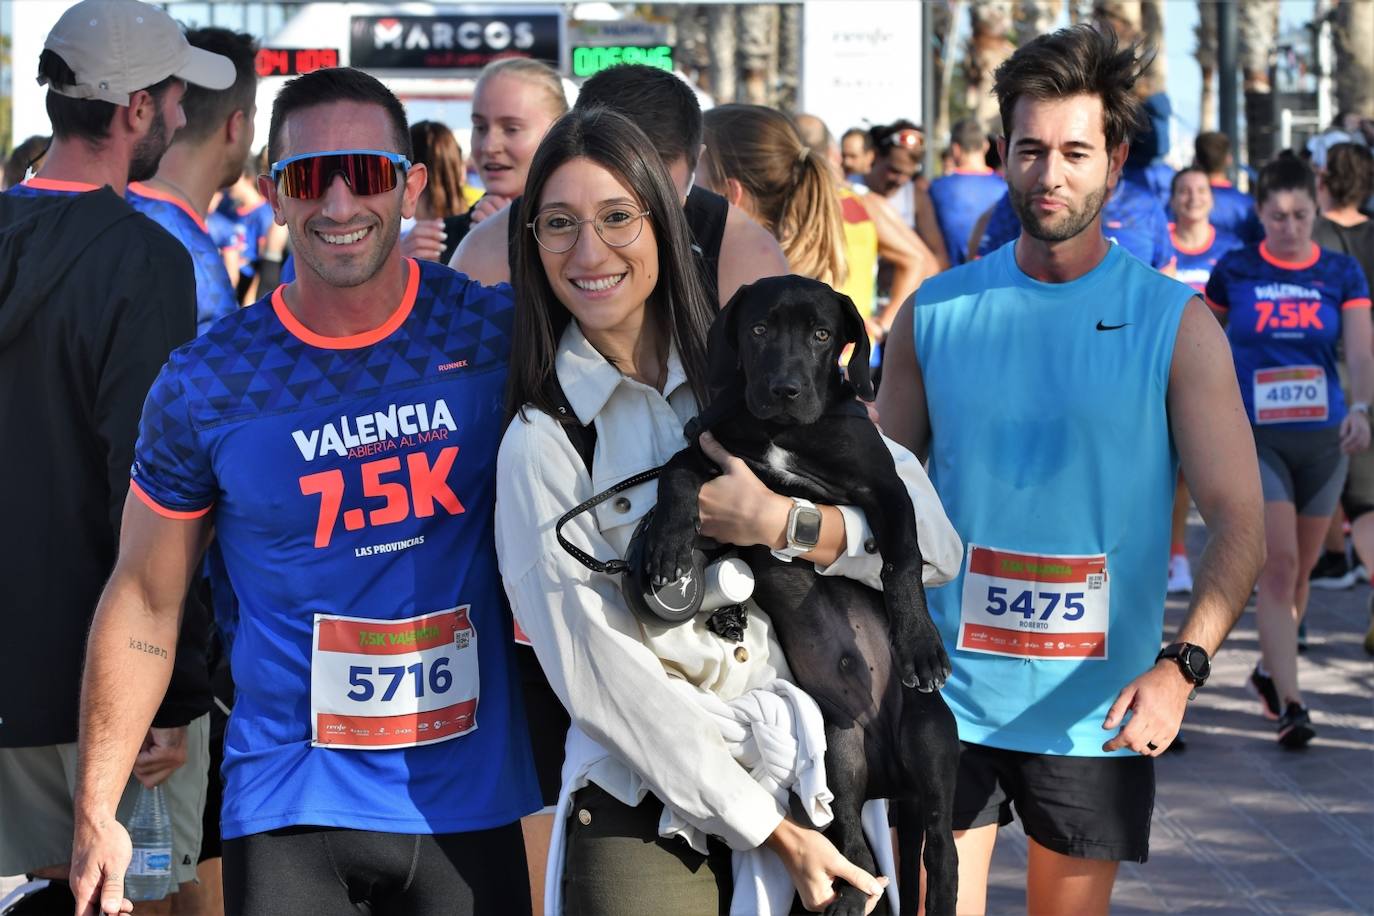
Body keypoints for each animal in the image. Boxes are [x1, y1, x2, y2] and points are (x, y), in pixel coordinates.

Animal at [648, 276, 961, 916]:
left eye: (821, 335)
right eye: (759, 329)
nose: (785, 390)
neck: (785, 433)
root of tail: (890, 778)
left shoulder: (888, 490)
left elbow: (903, 560)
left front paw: (920, 645)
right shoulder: (711, 455)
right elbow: (675, 472)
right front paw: (669, 541)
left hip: (930, 745)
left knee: (941, 852)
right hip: (840, 751)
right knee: (855, 846)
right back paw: (846, 898)